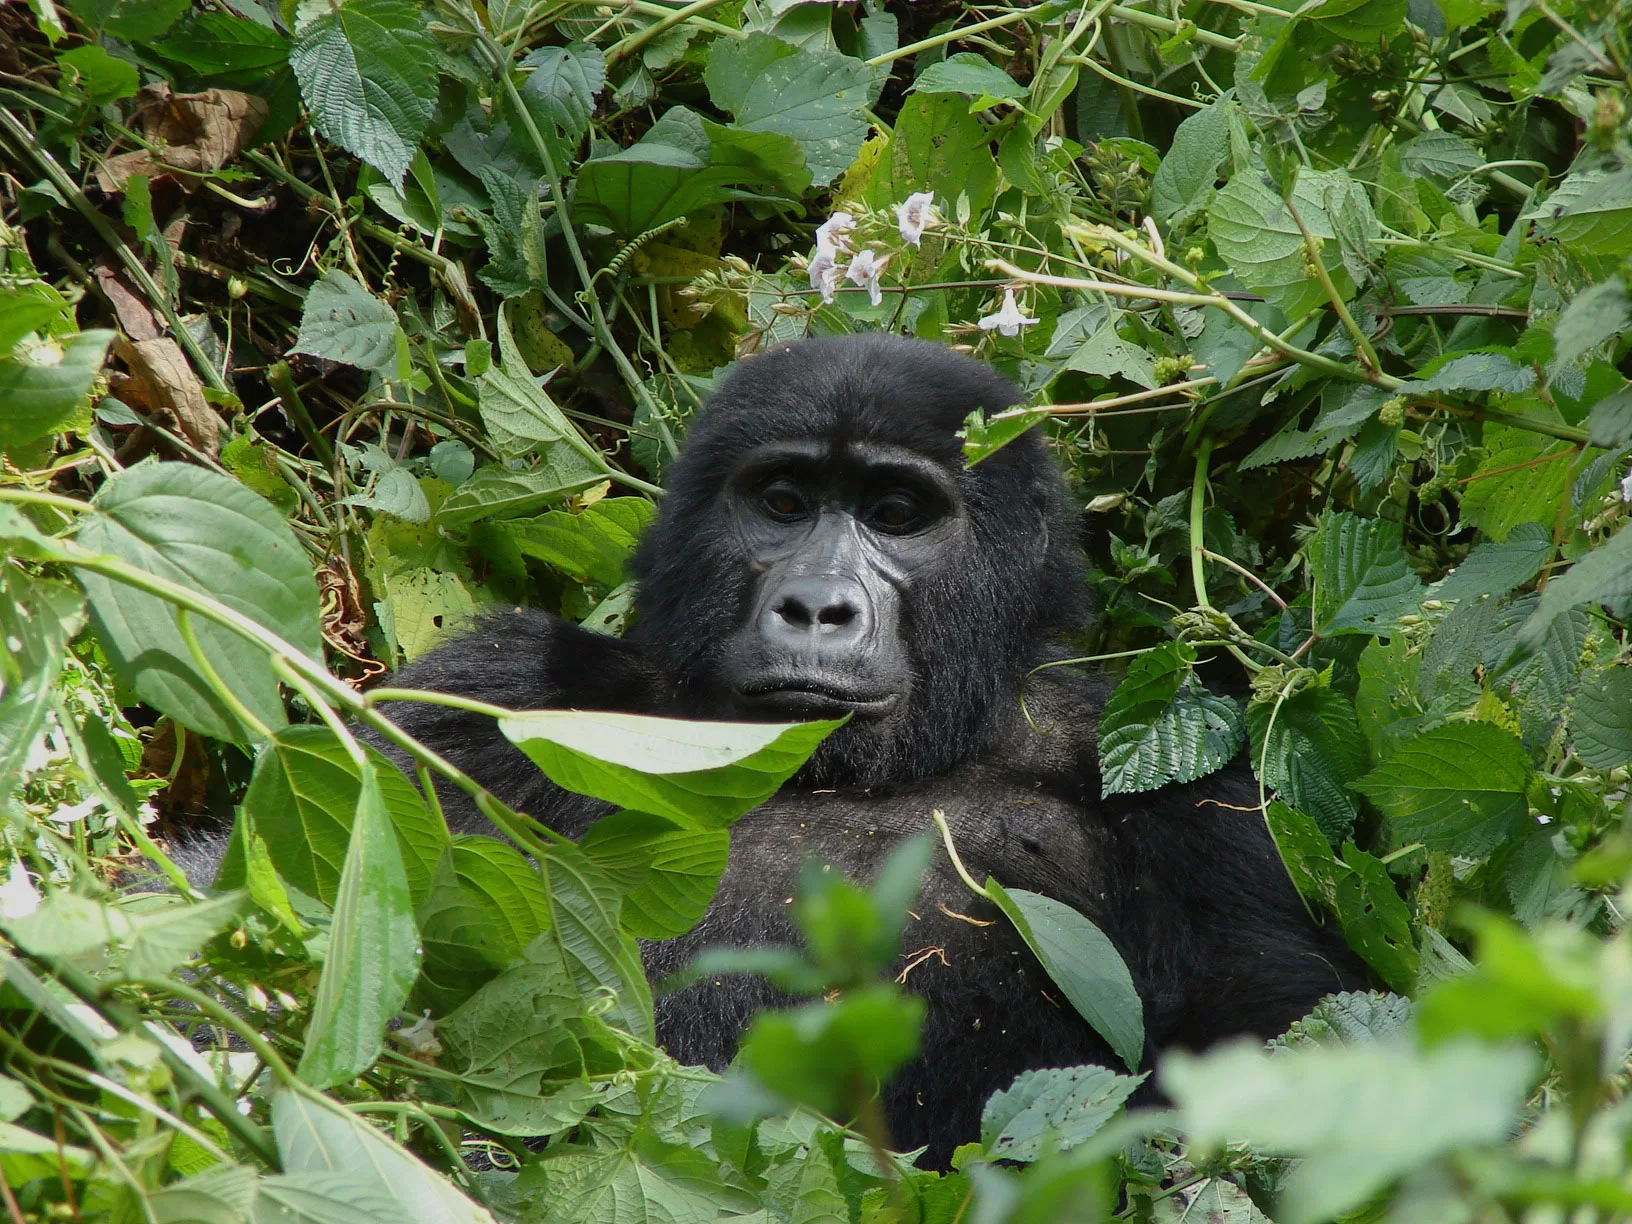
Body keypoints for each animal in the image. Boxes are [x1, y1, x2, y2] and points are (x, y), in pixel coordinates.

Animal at [373, 332, 1364, 1161]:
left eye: (896, 514)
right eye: (782, 502)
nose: (817, 607)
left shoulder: (1206, 814)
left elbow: (1278, 1059)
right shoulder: (499, 693)